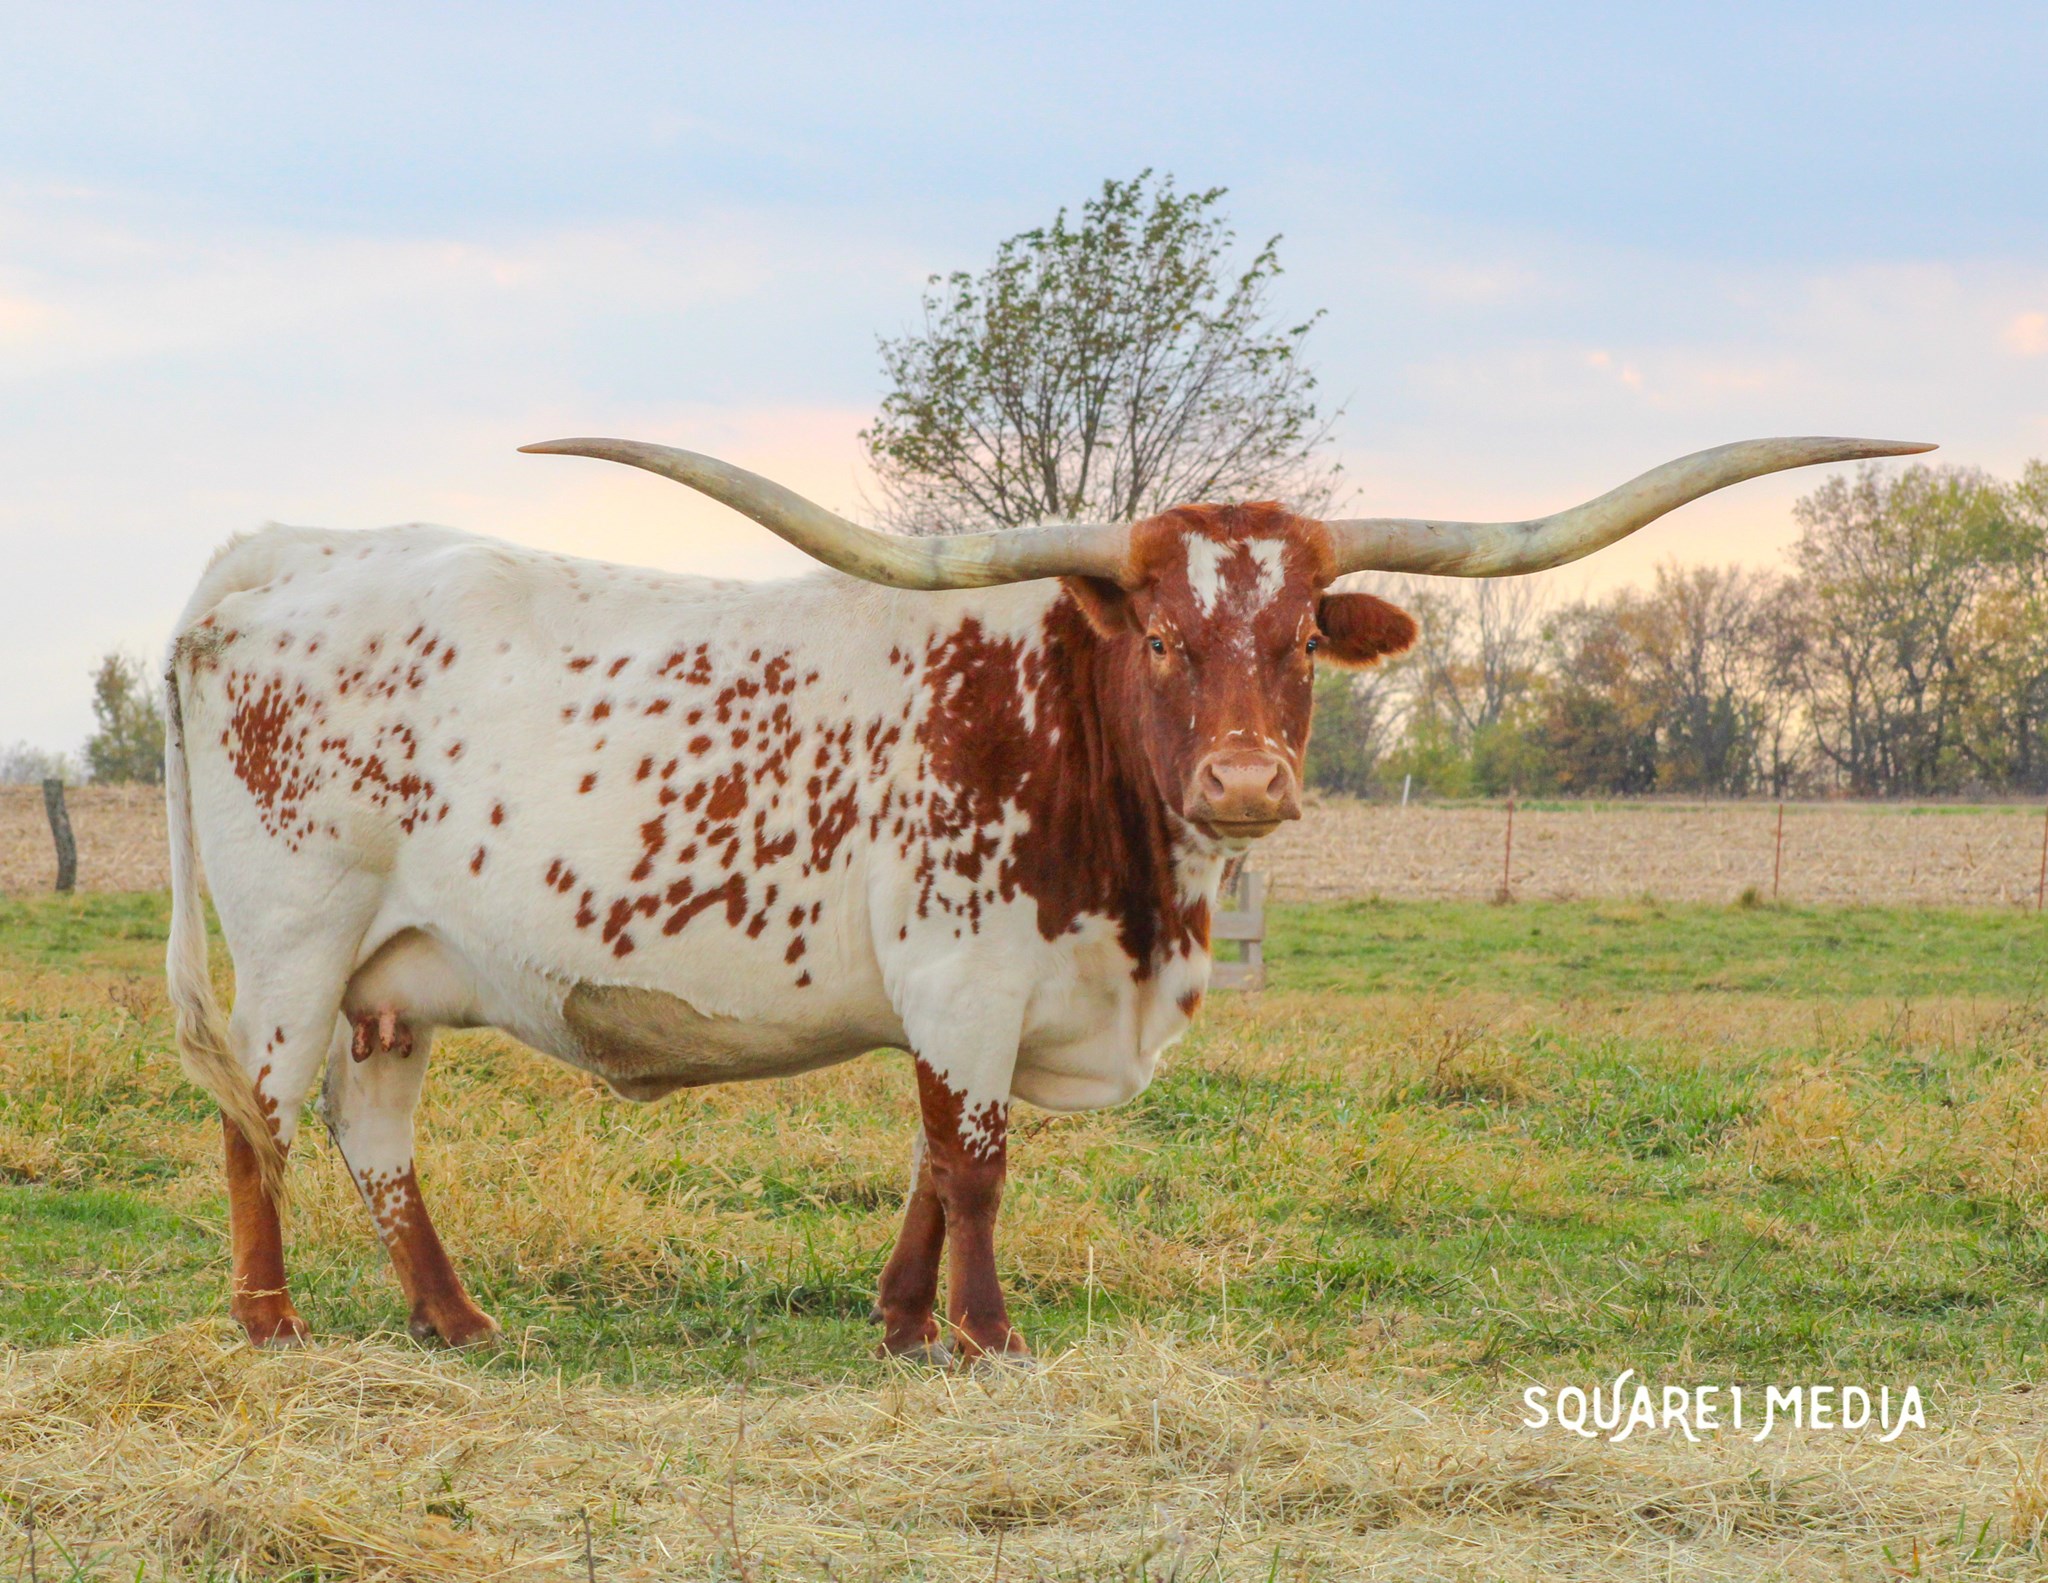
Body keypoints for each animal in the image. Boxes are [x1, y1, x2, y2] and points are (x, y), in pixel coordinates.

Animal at [165, 434, 1929, 1361]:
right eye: (1158, 633)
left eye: (1299, 640)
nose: (1245, 782)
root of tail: (279, 547)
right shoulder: (961, 976)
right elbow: (978, 1163)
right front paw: (988, 1336)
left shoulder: (981, 999)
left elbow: (933, 1163)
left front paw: (897, 1324)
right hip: (294, 941)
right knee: (255, 1121)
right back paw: (270, 1325)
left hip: (396, 976)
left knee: (373, 1137)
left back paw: (457, 1321)